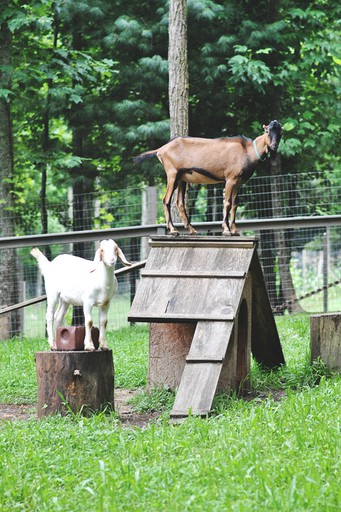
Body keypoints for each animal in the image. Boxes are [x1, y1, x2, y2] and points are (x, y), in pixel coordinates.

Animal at [133, 120, 282, 236]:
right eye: (268, 131)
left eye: (280, 132)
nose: (274, 146)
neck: (248, 151)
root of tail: (161, 150)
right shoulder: (230, 179)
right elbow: (227, 203)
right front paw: (226, 229)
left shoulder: (238, 183)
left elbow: (235, 204)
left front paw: (235, 230)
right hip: (172, 175)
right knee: (166, 200)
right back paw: (173, 230)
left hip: (181, 178)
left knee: (179, 202)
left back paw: (191, 230)